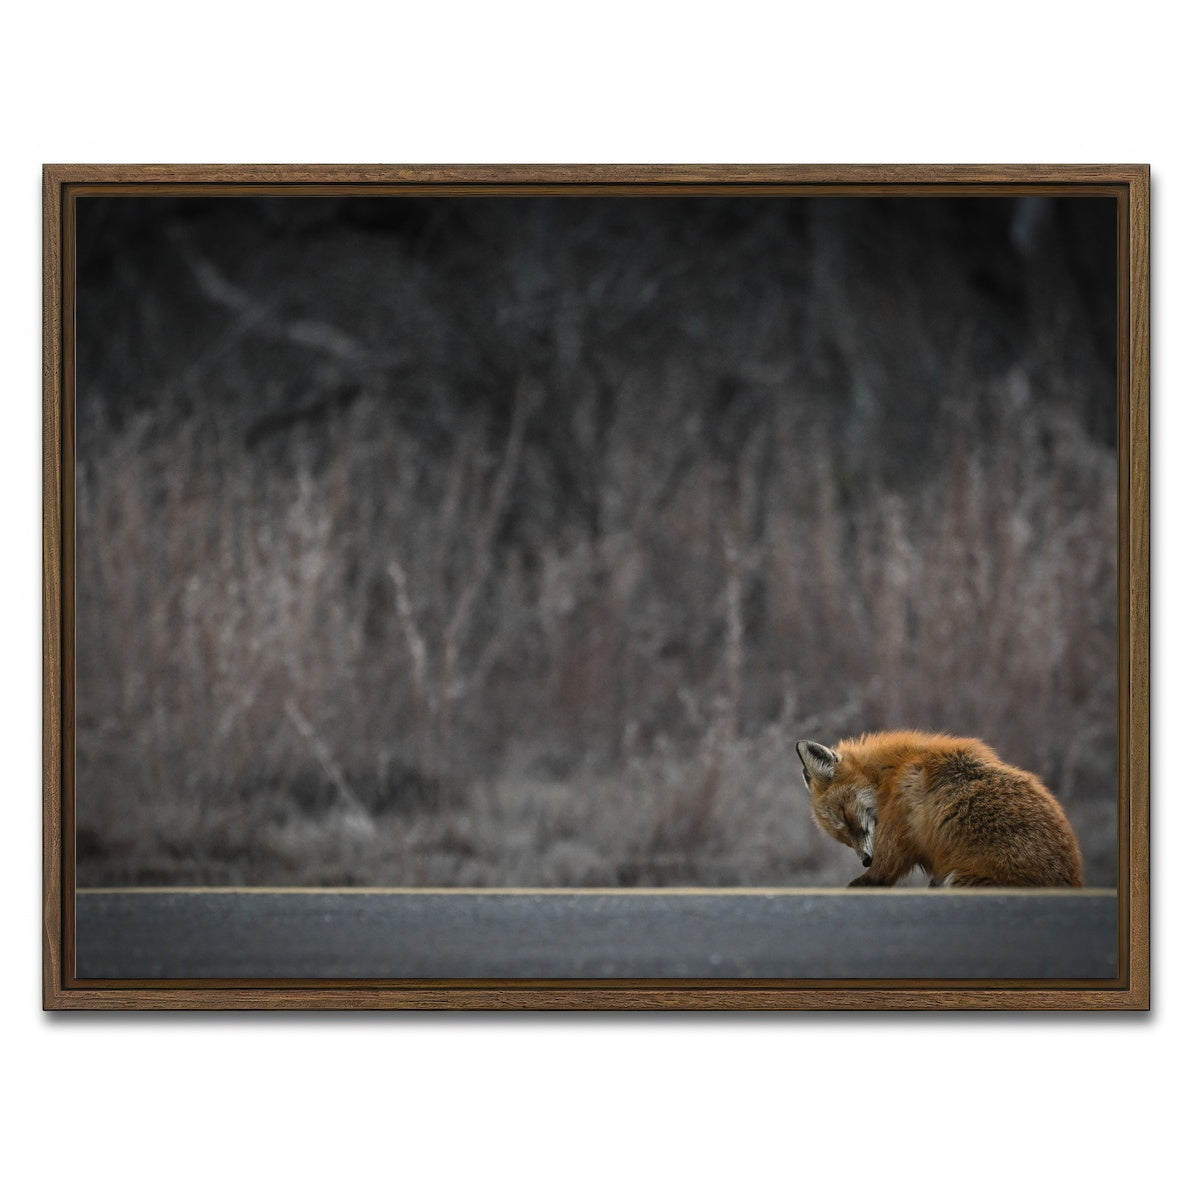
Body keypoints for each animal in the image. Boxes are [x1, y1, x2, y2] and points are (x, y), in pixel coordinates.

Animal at [795, 731, 1084, 887]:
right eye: (842, 838)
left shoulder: (896, 838)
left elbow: (877, 874)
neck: (892, 773)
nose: (866, 859)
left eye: (846, 816)